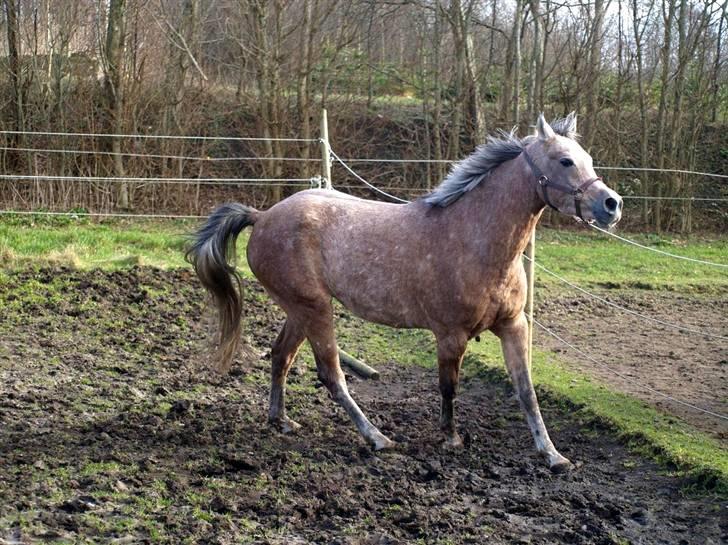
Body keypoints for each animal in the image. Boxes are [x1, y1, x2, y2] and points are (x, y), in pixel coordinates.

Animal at [186, 113, 620, 472]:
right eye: (565, 161)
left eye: (587, 158)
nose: (611, 205)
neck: (475, 239)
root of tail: (261, 217)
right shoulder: (450, 334)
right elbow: (449, 387)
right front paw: (450, 438)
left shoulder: (513, 325)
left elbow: (526, 391)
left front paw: (553, 456)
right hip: (315, 310)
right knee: (331, 375)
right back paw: (378, 438)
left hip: (300, 310)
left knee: (281, 357)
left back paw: (281, 421)